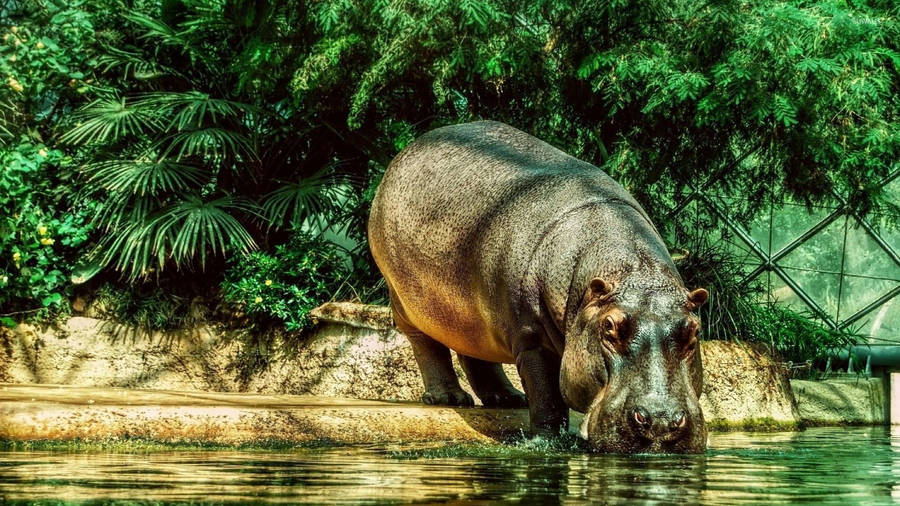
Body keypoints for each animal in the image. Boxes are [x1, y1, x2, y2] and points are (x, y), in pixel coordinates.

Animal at [368, 121, 709, 453]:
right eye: (609, 328)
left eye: (694, 331)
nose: (659, 422)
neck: (632, 272)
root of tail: (408, 150)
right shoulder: (531, 338)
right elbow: (546, 394)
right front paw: (546, 441)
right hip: (405, 302)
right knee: (427, 346)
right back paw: (449, 398)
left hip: (469, 313)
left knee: (473, 353)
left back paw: (508, 399)